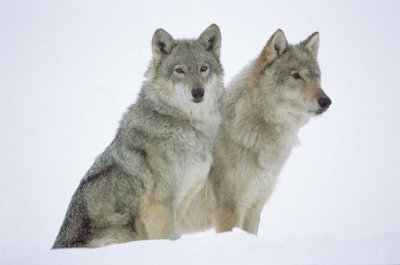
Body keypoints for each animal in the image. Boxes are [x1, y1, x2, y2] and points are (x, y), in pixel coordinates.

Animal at [51, 23, 223, 248]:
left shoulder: (182, 201)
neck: (184, 126)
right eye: (179, 70)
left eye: (203, 68)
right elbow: (169, 237)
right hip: (123, 233)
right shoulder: (160, 207)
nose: (198, 92)